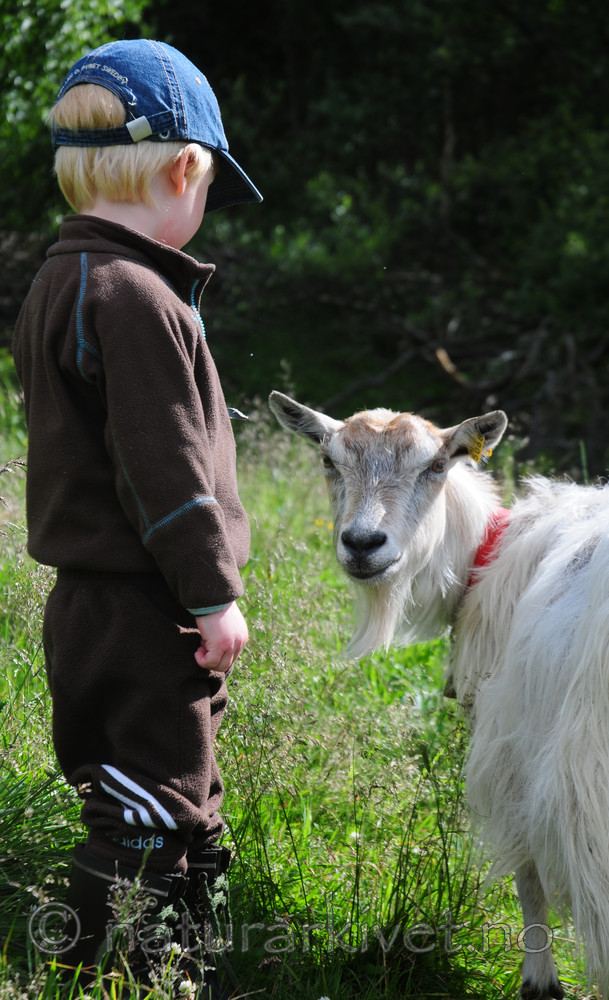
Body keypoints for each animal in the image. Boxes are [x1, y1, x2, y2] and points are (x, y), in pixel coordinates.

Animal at [269, 388, 609, 1000]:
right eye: (329, 460)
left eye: (435, 466)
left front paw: (539, 981)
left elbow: (527, 876)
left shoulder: (516, 754)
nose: (362, 544)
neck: (486, 556)